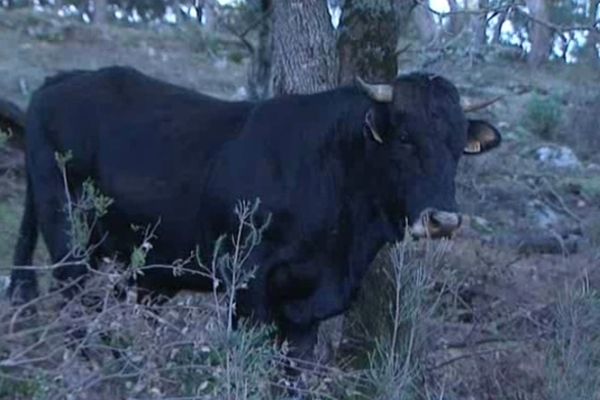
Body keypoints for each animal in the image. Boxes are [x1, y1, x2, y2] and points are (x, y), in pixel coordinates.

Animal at [2, 66, 502, 360]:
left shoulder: (305, 310)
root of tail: (62, 79)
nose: (444, 221)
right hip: (68, 231)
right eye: (404, 139)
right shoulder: (247, 284)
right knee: (76, 308)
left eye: (458, 147)